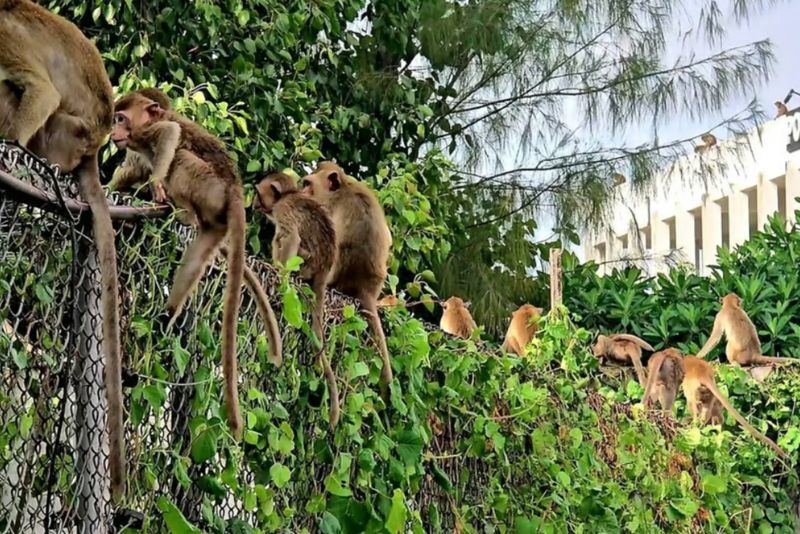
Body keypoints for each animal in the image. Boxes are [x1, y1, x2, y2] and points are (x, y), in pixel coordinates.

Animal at [112, 91, 282, 440]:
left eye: (122, 118)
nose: (113, 131)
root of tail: (235, 190)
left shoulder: (145, 135)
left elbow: (170, 135)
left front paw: (156, 182)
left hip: (205, 183)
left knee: (180, 156)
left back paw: (180, 209)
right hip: (216, 219)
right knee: (196, 258)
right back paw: (165, 317)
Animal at [253, 172, 340, 432]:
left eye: (258, 193)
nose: (253, 204)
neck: (289, 195)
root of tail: (324, 268)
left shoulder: (282, 209)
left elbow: (291, 237)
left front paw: (280, 274)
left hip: (306, 261)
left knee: (282, 238)